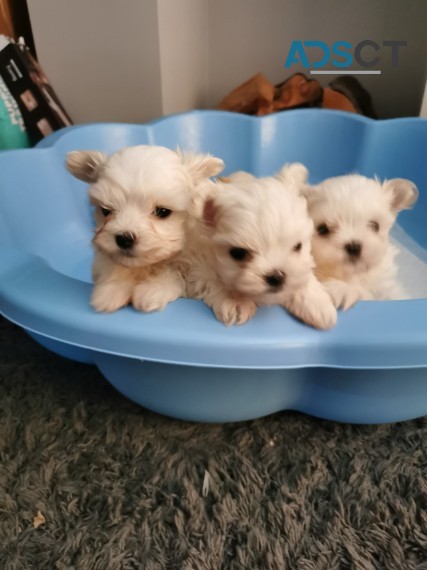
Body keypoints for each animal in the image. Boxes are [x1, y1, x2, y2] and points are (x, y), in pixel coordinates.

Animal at [67, 142, 224, 310]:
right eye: (106, 210)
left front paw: (152, 290)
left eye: (163, 212)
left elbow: (173, 271)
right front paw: (110, 291)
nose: (124, 239)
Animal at [187, 163, 338, 328]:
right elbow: (215, 280)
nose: (277, 276)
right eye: (238, 253)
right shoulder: (198, 265)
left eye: (298, 246)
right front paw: (236, 300)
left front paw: (316, 303)